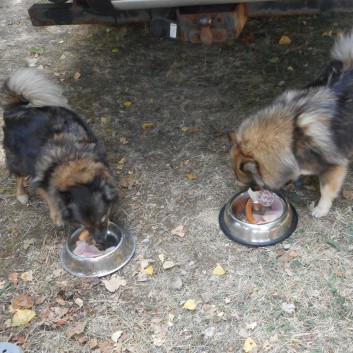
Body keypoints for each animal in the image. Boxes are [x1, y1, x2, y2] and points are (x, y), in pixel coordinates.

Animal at [0, 68, 117, 242]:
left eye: (102, 220)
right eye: (85, 225)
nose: (100, 241)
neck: (72, 161)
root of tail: (17, 108)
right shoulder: (42, 184)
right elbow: (51, 199)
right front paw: (57, 217)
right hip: (18, 160)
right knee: (18, 176)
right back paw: (21, 194)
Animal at [228, 31, 352, 217]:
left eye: (255, 185)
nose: (254, 191)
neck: (292, 138)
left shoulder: (333, 165)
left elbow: (326, 189)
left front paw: (321, 209)